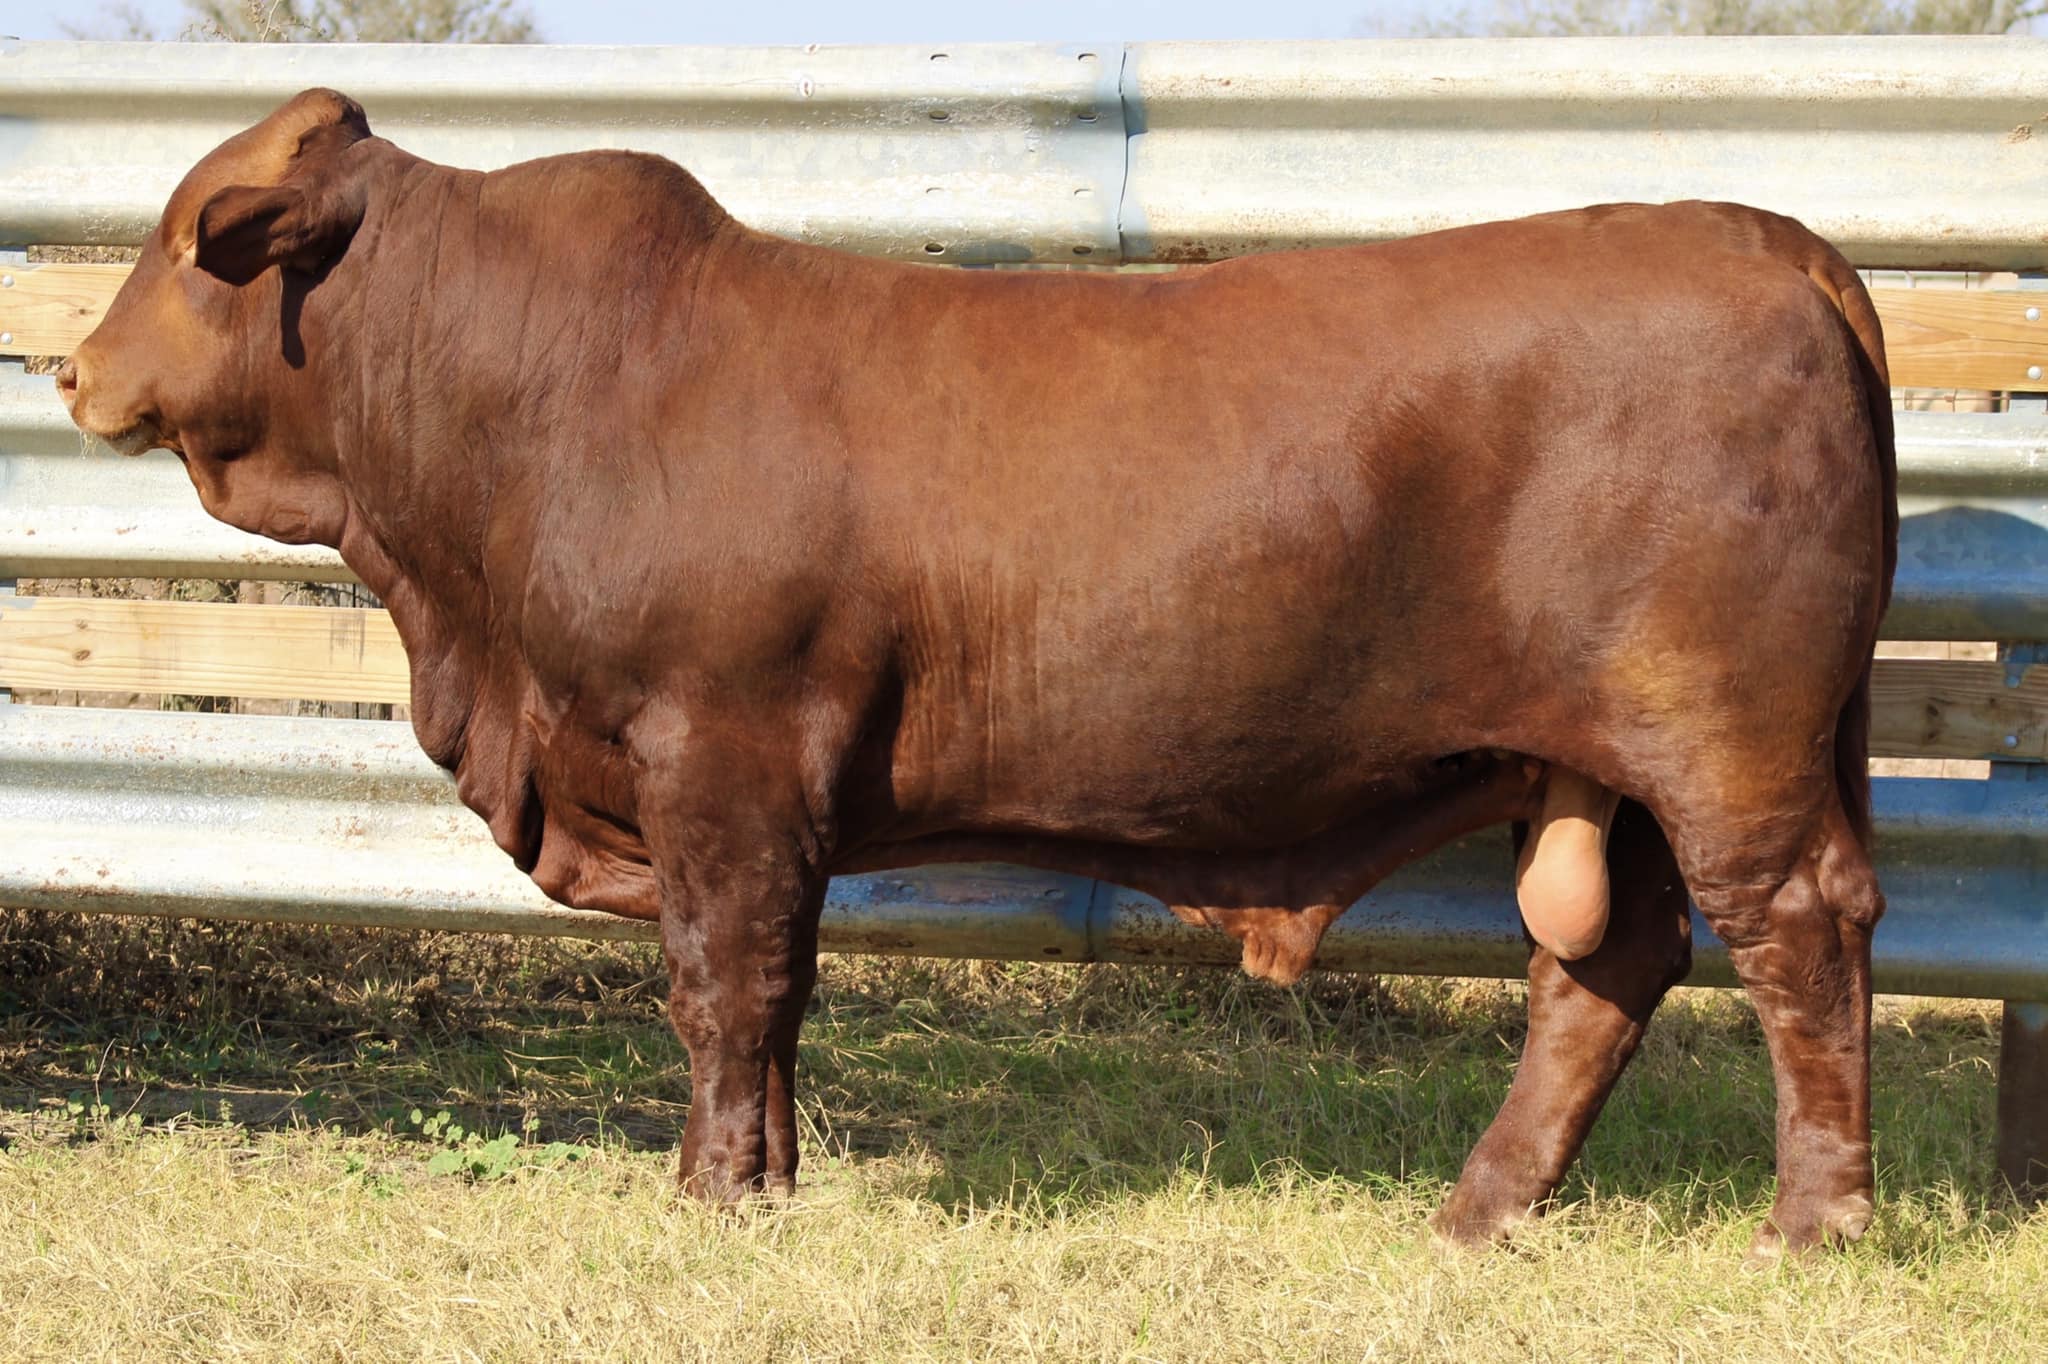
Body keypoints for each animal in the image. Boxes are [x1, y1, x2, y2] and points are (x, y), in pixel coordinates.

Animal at [58, 89, 1895, 1259]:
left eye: (192, 239)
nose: (69, 367)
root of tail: (1766, 238)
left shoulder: (719, 746)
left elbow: (724, 985)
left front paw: (710, 1197)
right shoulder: (756, 794)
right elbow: (772, 992)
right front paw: (760, 1180)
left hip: (1724, 743)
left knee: (1795, 938)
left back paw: (1809, 1226)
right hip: (1615, 767)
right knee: (1606, 966)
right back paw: (1477, 1210)